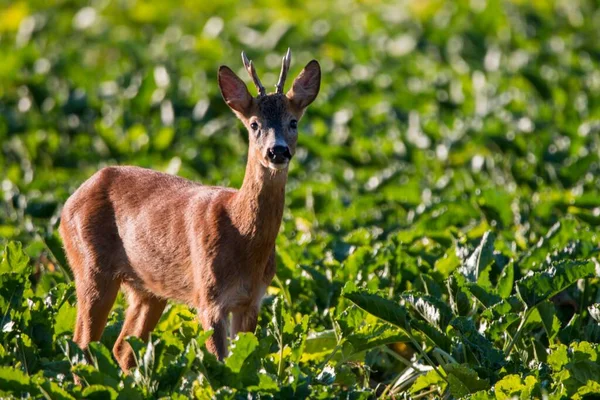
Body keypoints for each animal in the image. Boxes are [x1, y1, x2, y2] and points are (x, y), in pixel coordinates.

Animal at [59, 50, 324, 372]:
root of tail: (70, 200)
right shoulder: (208, 298)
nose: (278, 151)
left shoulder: (252, 300)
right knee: (82, 344)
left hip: (147, 288)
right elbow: (220, 362)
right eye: (254, 124)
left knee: (122, 346)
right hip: (90, 266)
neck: (243, 238)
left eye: (293, 121)